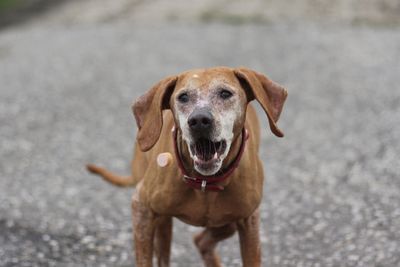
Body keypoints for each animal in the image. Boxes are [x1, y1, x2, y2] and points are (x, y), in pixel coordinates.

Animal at [87, 66, 288, 266]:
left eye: (225, 93)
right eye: (183, 97)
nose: (199, 120)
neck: (205, 183)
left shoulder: (249, 222)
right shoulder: (142, 208)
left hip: (227, 223)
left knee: (201, 241)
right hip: (163, 220)